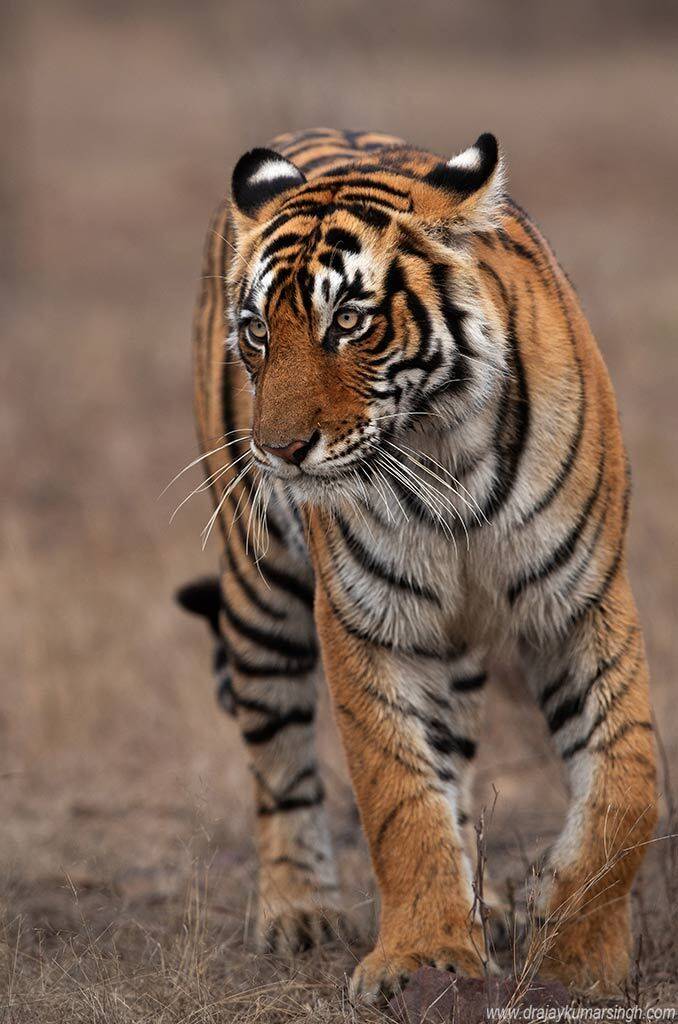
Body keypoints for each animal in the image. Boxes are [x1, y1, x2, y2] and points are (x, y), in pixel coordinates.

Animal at [177, 127, 657, 1001]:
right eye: (258, 330)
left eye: (349, 321)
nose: (277, 452)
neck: (443, 449)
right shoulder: (369, 620)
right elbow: (398, 795)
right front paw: (425, 956)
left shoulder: (584, 600)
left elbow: (629, 786)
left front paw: (576, 954)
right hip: (261, 589)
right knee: (278, 758)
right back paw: (299, 910)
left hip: (454, 644)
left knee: (455, 757)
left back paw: (486, 903)